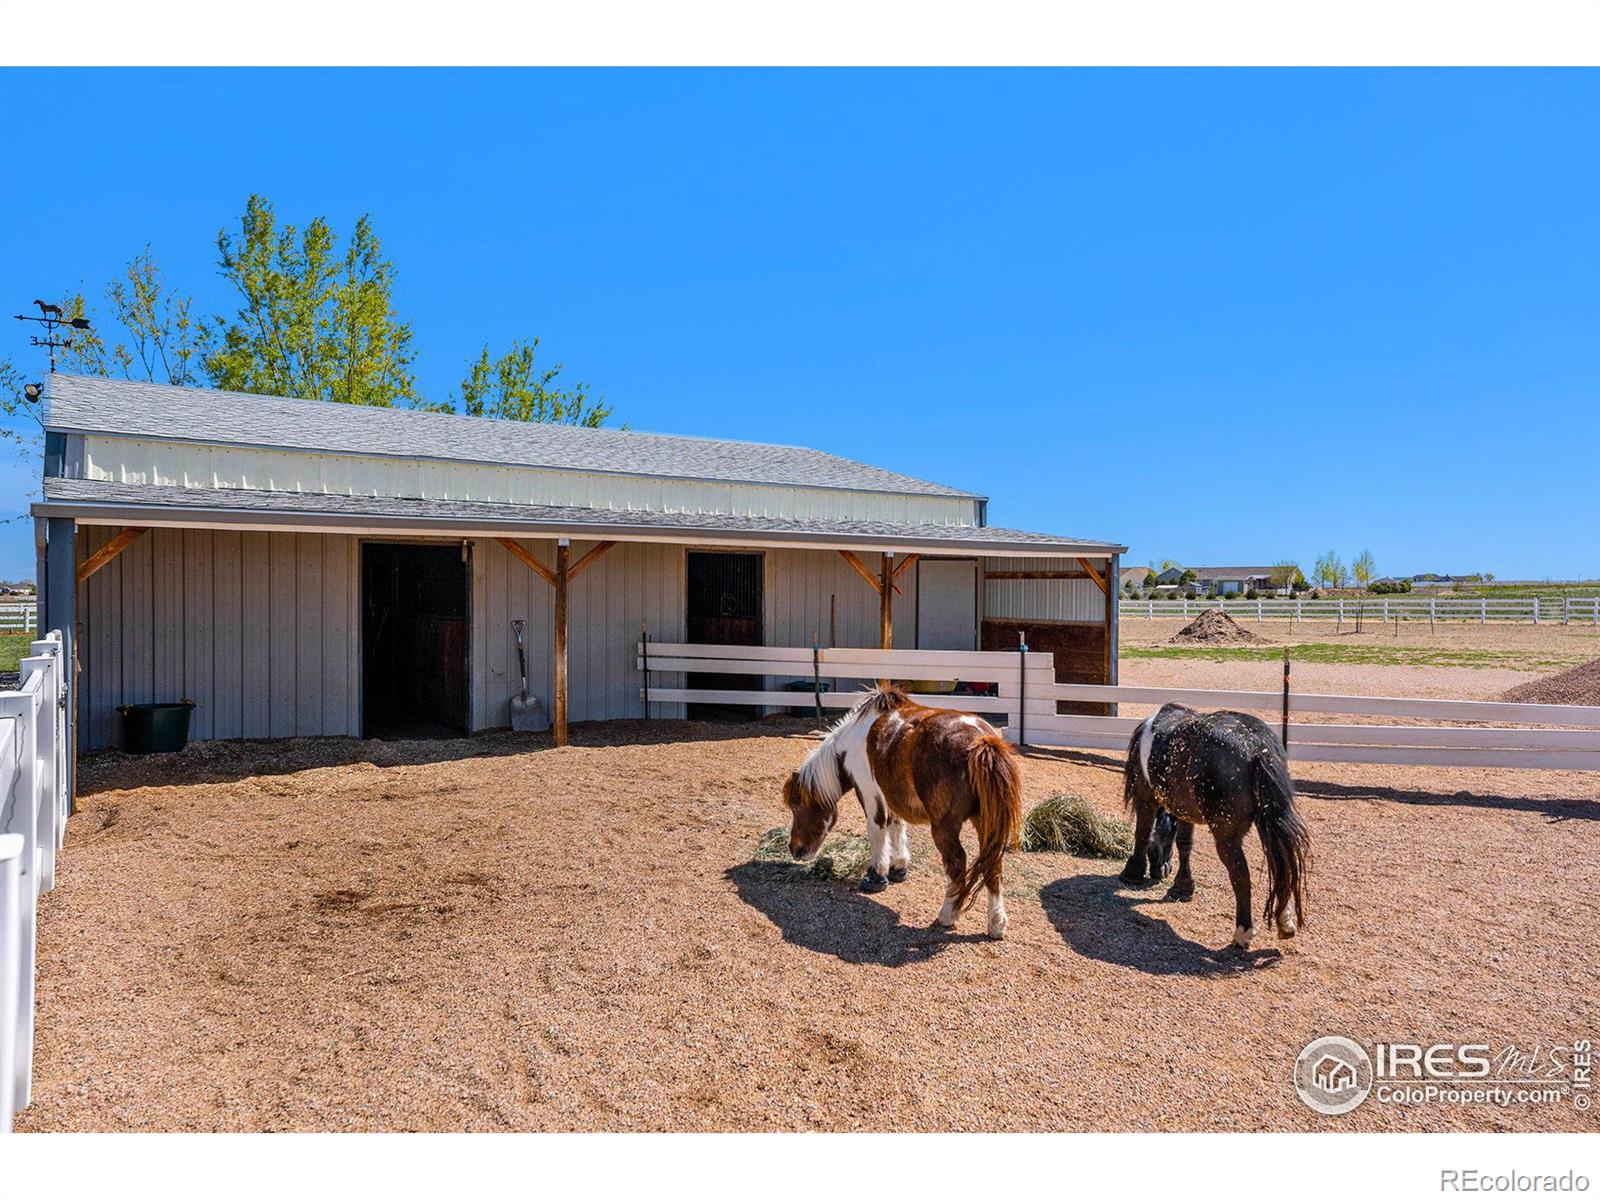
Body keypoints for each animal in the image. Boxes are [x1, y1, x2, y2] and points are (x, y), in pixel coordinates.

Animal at [777, 684, 1024, 940]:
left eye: (796, 805)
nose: (795, 849)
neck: (853, 740)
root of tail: (981, 740)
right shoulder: (891, 794)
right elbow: (896, 826)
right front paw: (898, 867)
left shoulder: (869, 792)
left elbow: (877, 829)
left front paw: (876, 875)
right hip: (986, 822)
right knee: (993, 864)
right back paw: (996, 923)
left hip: (945, 827)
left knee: (957, 863)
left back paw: (948, 914)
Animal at [1126, 704, 1312, 947]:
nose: (1161, 870)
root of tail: (1257, 749)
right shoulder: (1184, 809)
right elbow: (1184, 844)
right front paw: (1182, 887)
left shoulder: (1145, 797)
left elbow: (1144, 833)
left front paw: (1132, 871)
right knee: (1281, 863)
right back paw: (1284, 920)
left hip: (1227, 837)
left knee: (1241, 874)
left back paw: (1243, 931)